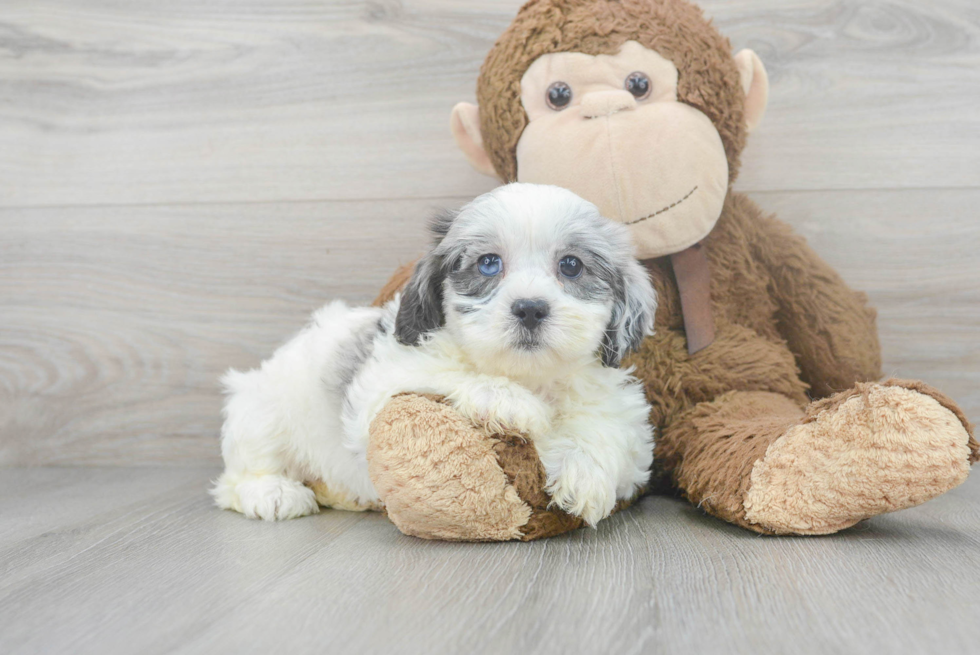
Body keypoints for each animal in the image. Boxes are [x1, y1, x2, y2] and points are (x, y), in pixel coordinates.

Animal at [214, 183, 660, 528]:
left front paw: (584, 474)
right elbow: (445, 374)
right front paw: (512, 402)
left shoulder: (628, 425)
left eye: (571, 265)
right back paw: (273, 492)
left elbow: (609, 430)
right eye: (488, 263)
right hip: (265, 410)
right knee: (237, 477)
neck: (528, 375)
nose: (530, 308)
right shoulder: (383, 384)